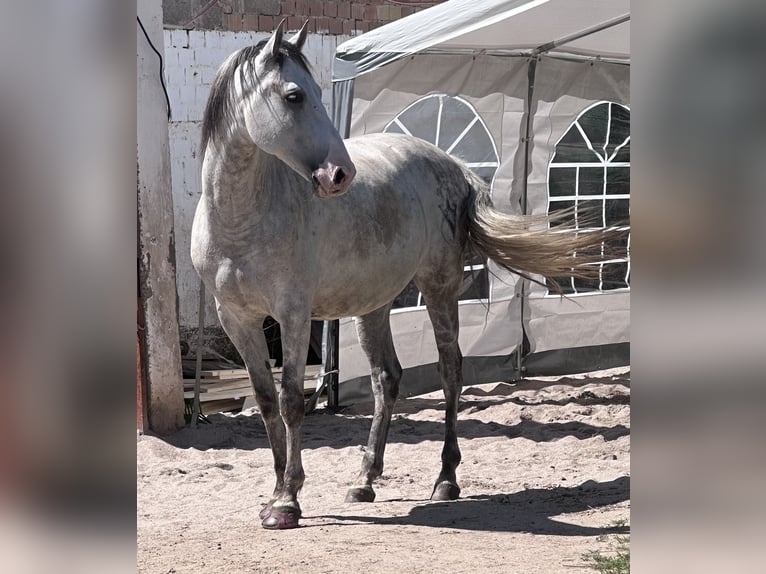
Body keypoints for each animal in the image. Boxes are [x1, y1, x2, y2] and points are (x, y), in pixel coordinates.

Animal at [195, 20, 620, 528]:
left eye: (317, 92)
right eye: (294, 96)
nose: (340, 174)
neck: (243, 219)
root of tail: (454, 166)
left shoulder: (293, 315)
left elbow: (291, 400)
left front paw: (287, 502)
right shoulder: (236, 319)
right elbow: (264, 404)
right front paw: (275, 493)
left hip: (439, 288)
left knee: (450, 370)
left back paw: (446, 479)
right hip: (373, 304)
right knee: (387, 378)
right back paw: (364, 480)